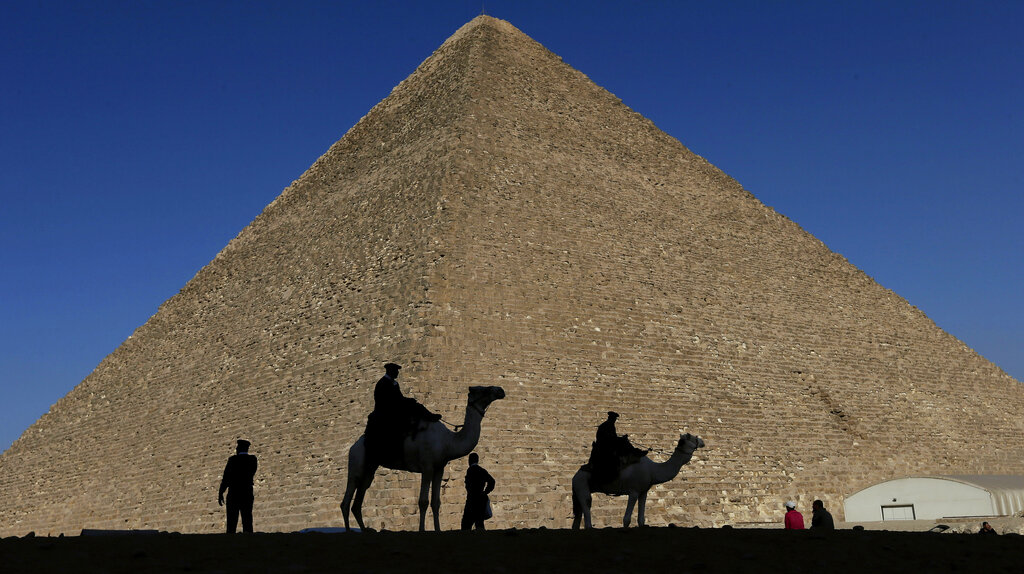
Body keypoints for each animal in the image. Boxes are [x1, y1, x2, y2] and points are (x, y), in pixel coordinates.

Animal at [342, 386, 505, 532]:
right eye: (481, 390)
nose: (500, 390)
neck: (448, 441)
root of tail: (354, 446)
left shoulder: (439, 468)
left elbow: (436, 502)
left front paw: (438, 530)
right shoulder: (427, 466)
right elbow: (423, 501)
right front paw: (422, 530)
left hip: (370, 467)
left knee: (359, 498)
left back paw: (364, 530)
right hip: (356, 461)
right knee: (347, 497)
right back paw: (349, 531)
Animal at [569, 429, 704, 527]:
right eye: (693, 437)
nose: (702, 441)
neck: (652, 470)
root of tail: (574, 476)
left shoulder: (643, 492)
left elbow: (641, 520)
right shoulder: (633, 491)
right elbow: (626, 519)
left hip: (578, 491)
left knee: (577, 518)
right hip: (582, 484)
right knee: (587, 509)